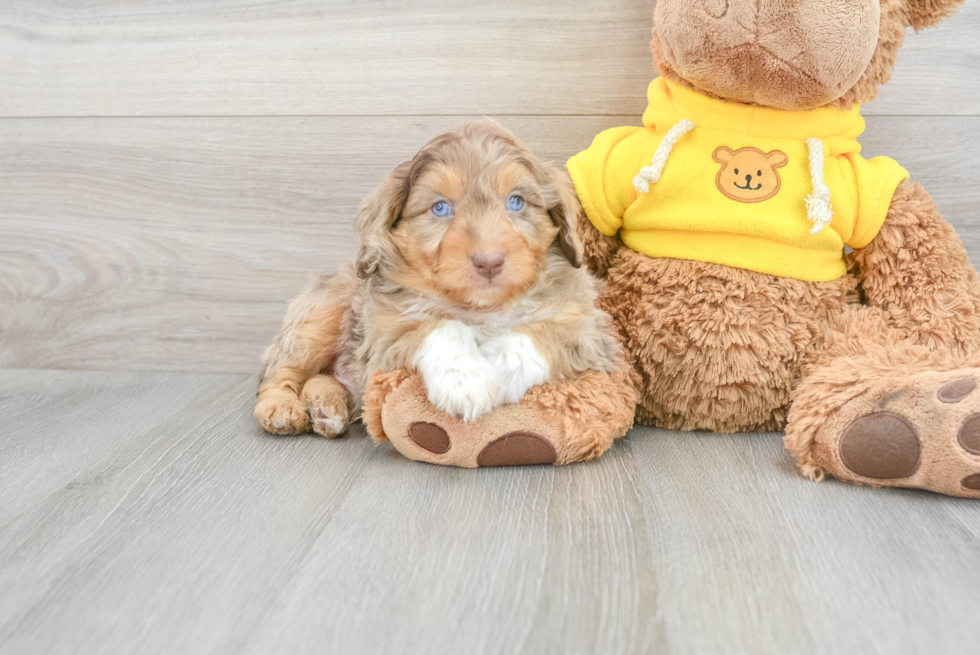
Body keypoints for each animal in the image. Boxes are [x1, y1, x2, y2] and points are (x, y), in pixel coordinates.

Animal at [253, 123, 620, 440]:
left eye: (516, 201)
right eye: (441, 208)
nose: (489, 260)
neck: (482, 307)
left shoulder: (591, 331)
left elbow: (536, 333)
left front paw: (498, 370)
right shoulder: (382, 338)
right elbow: (438, 327)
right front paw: (468, 382)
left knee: (323, 378)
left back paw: (326, 407)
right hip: (322, 311)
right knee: (280, 369)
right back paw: (282, 408)